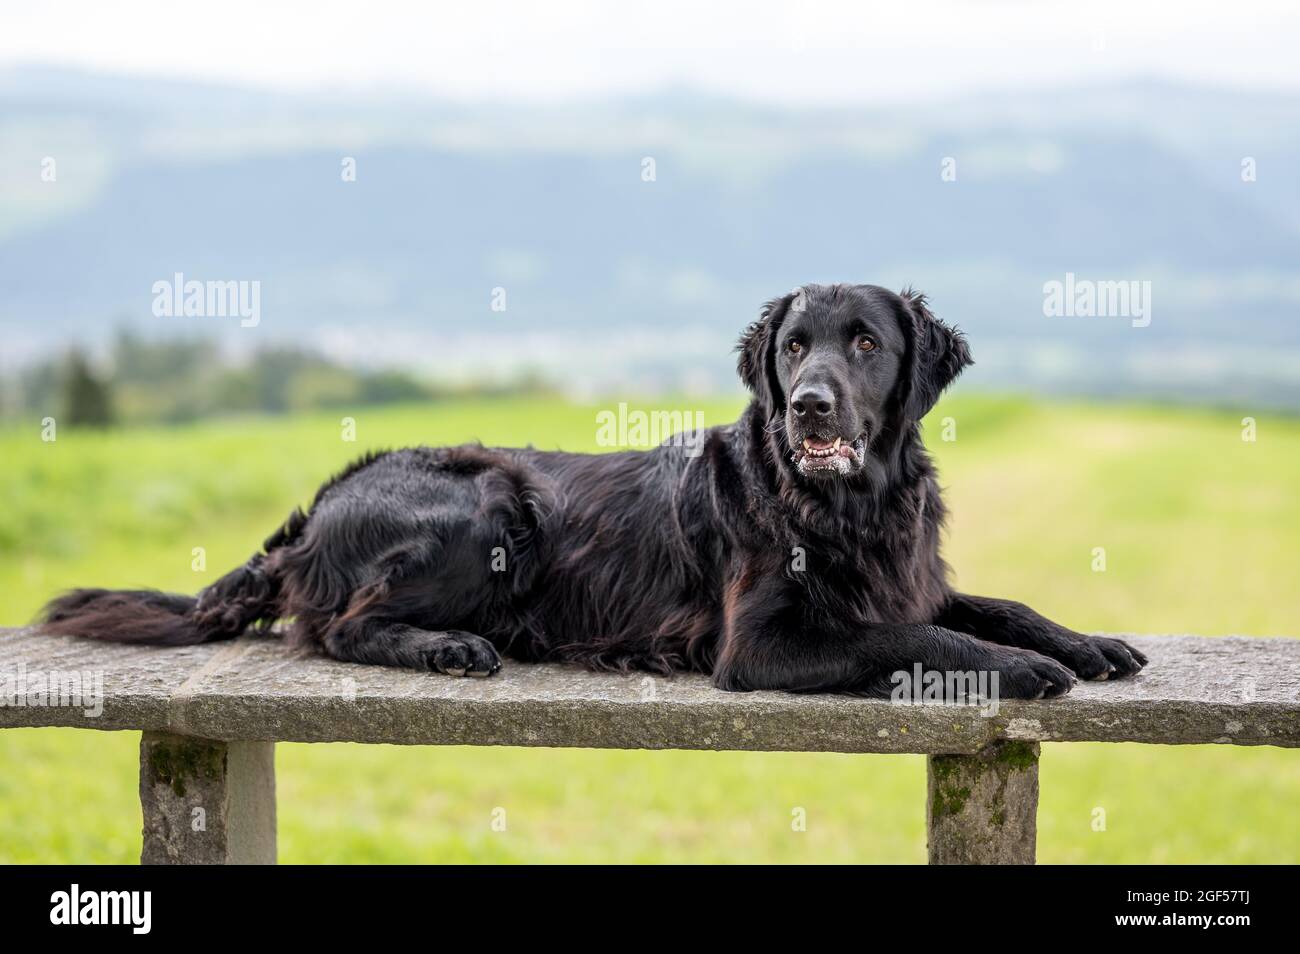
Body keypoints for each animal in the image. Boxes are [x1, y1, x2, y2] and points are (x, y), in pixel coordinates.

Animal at [35, 285, 1144, 701]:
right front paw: (1020, 666)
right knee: (341, 625)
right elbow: (911, 635)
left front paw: (1084, 642)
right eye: (794, 349)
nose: (809, 408)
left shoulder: (906, 574)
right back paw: (449, 647)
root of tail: (316, 509)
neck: (844, 503)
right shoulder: (760, 645)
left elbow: (983, 602)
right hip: (490, 509)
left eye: (866, 343)